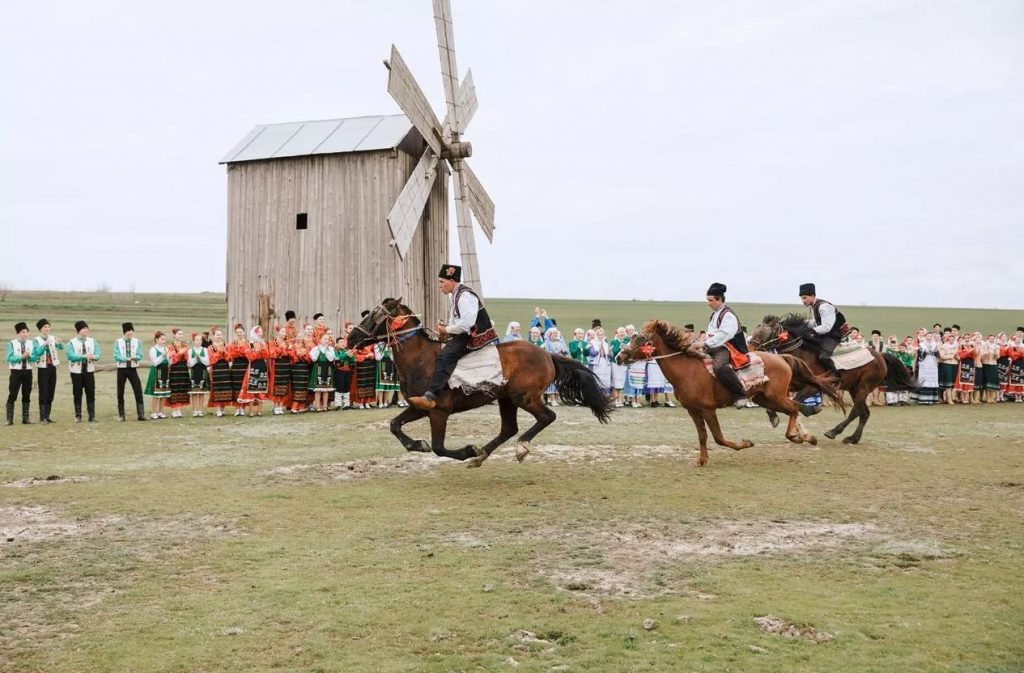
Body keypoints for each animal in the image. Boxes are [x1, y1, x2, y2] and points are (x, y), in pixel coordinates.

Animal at [348, 299, 610, 467]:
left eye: (375, 315)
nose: (351, 338)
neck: (422, 360)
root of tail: (547, 354)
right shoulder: (419, 407)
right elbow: (394, 425)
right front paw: (418, 445)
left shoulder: (439, 412)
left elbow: (438, 447)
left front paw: (466, 450)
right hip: (506, 399)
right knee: (509, 428)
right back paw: (481, 455)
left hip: (523, 398)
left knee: (546, 418)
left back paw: (516, 448)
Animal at [610, 319, 843, 467]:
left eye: (641, 340)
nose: (619, 357)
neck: (687, 369)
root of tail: (781, 358)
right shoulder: (693, 410)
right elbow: (703, 436)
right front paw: (701, 460)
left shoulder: (708, 409)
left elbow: (718, 437)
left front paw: (745, 444)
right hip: (765, 398)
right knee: (791, 409)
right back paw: (804, 435)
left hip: (775, 396)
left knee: (794, 407)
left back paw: (796, 435)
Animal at [749, 311, 917, 444]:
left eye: (764, 332)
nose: (750, 349)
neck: (802, 353)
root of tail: (880, 355)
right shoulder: (788, 384)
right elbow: (778, 400)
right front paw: (773, 416)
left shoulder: (811, 386)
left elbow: (796, 401)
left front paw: (810, 410)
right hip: (854, 388)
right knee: (864, 414)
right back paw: (853, 438)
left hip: (864, 387)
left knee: (856, 411)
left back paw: (834, 432)